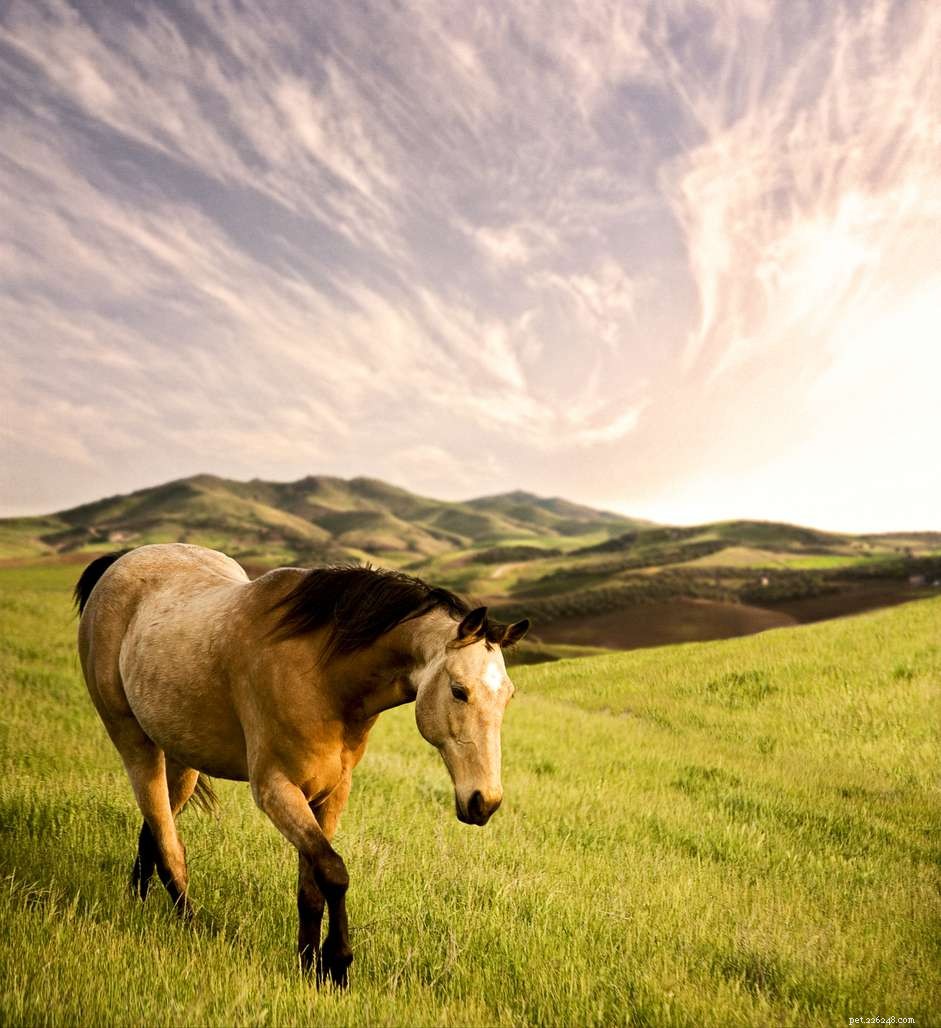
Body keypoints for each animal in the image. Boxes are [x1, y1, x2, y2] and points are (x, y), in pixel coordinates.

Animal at [74, 543, 529, 987]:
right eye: (459, 691)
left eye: (508, 696)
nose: (484, 802)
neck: (321, 674)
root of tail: (122, 560)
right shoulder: (277, 790)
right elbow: (333, 872)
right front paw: (337, 965)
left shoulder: (330, 793)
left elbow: (311, 887)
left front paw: (309, 965)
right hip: (135, 742)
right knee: (168, 841)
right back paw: (191, 925)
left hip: (182, 759)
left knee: (155, 826)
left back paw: (139, 899)